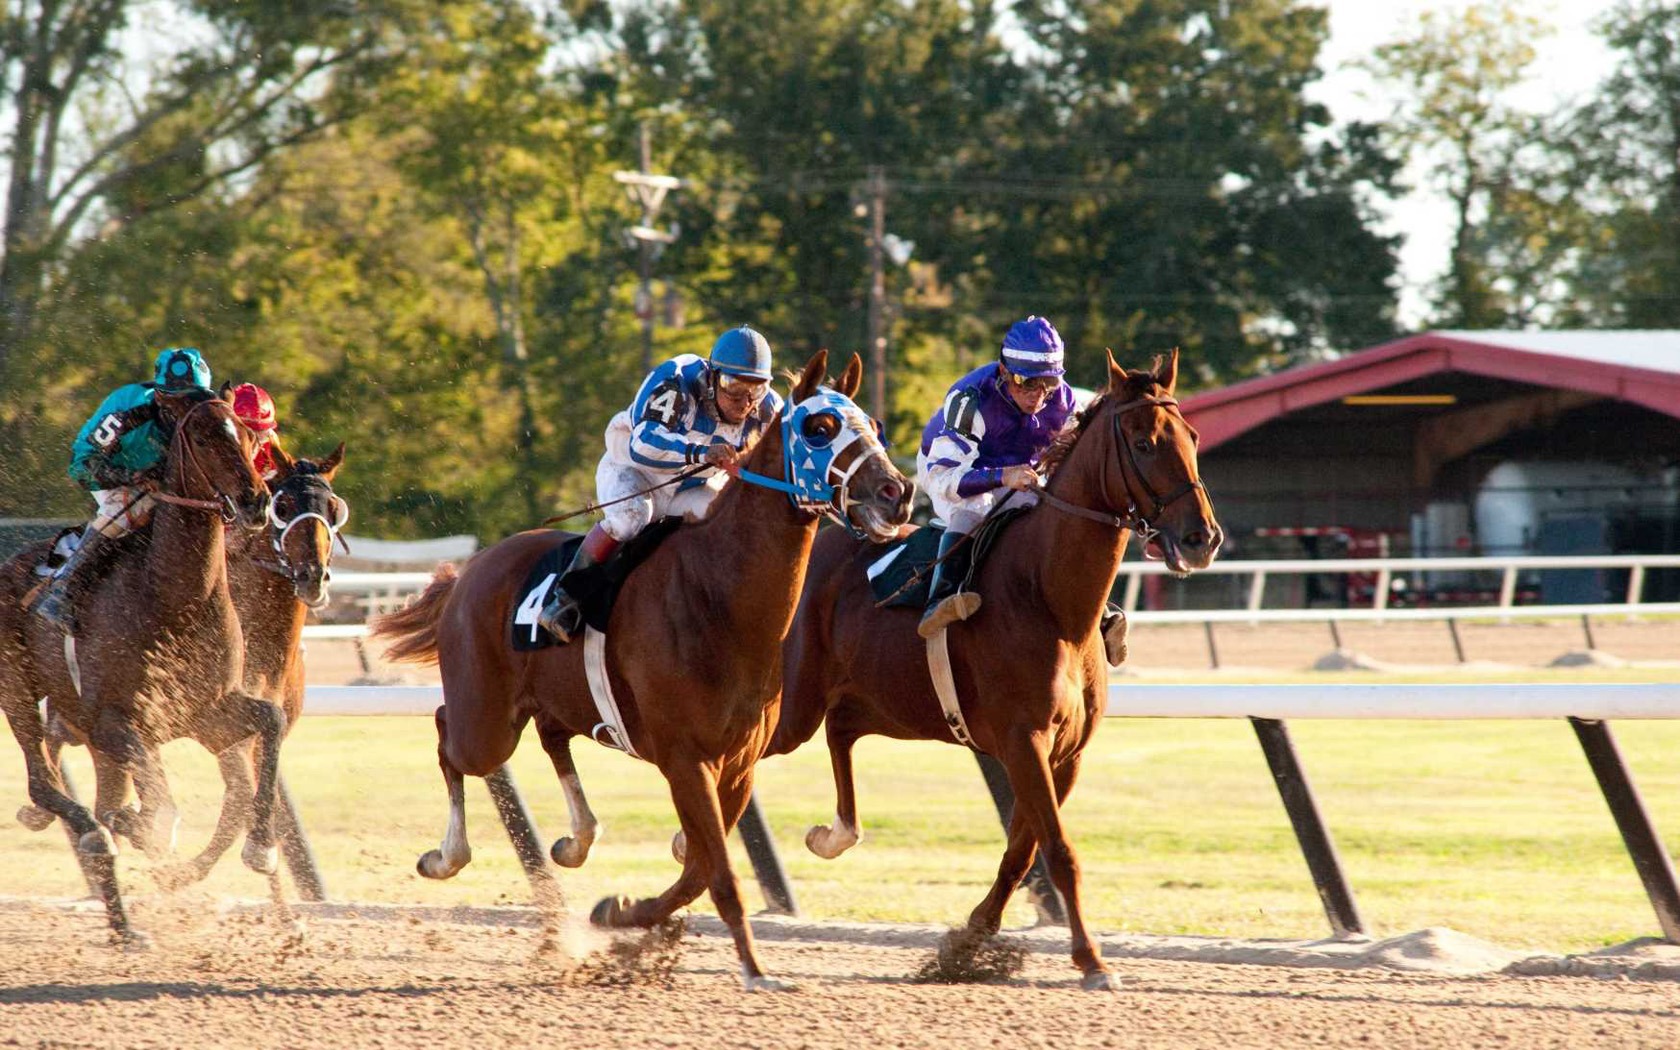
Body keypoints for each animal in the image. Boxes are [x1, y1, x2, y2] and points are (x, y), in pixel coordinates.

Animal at [0, 386, 278, 940]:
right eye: (202, 436)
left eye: (248, 433)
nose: (256, 501)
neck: (174, 598)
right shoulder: (117, 724)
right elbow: (159, 812)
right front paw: (146, 833)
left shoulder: (207, 713)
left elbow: (272, 721)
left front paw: (261, 848)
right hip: (18, 691)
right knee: (45, 784)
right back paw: (95, 838)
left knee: (98, 802)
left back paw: (125, 927)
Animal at [374, 352, 913, 987]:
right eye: (820, 427)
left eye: (873, 426)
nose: (897, 492)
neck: (719, 597)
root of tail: (469, 570)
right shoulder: (686, 759)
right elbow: (717, 871)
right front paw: (754, 969)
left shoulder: (737, 765)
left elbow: (700, 869)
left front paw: (622, 912)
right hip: (486, 722)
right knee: (448, 735)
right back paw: (445, 856)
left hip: (555, 701)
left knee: (551, 736)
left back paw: (577, 839)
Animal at [769, 352, 1223, 987]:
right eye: (1143, 442)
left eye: (1193, 437)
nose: (1201, 538)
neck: (1050, 599)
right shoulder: (1022, 739)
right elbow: (1058, 850)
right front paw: (1092, 959)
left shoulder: (1065, 753)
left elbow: (1023, 850)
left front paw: (969, 941)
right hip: (794, 704)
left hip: (871, 701)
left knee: (840, 735)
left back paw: (834, 834)